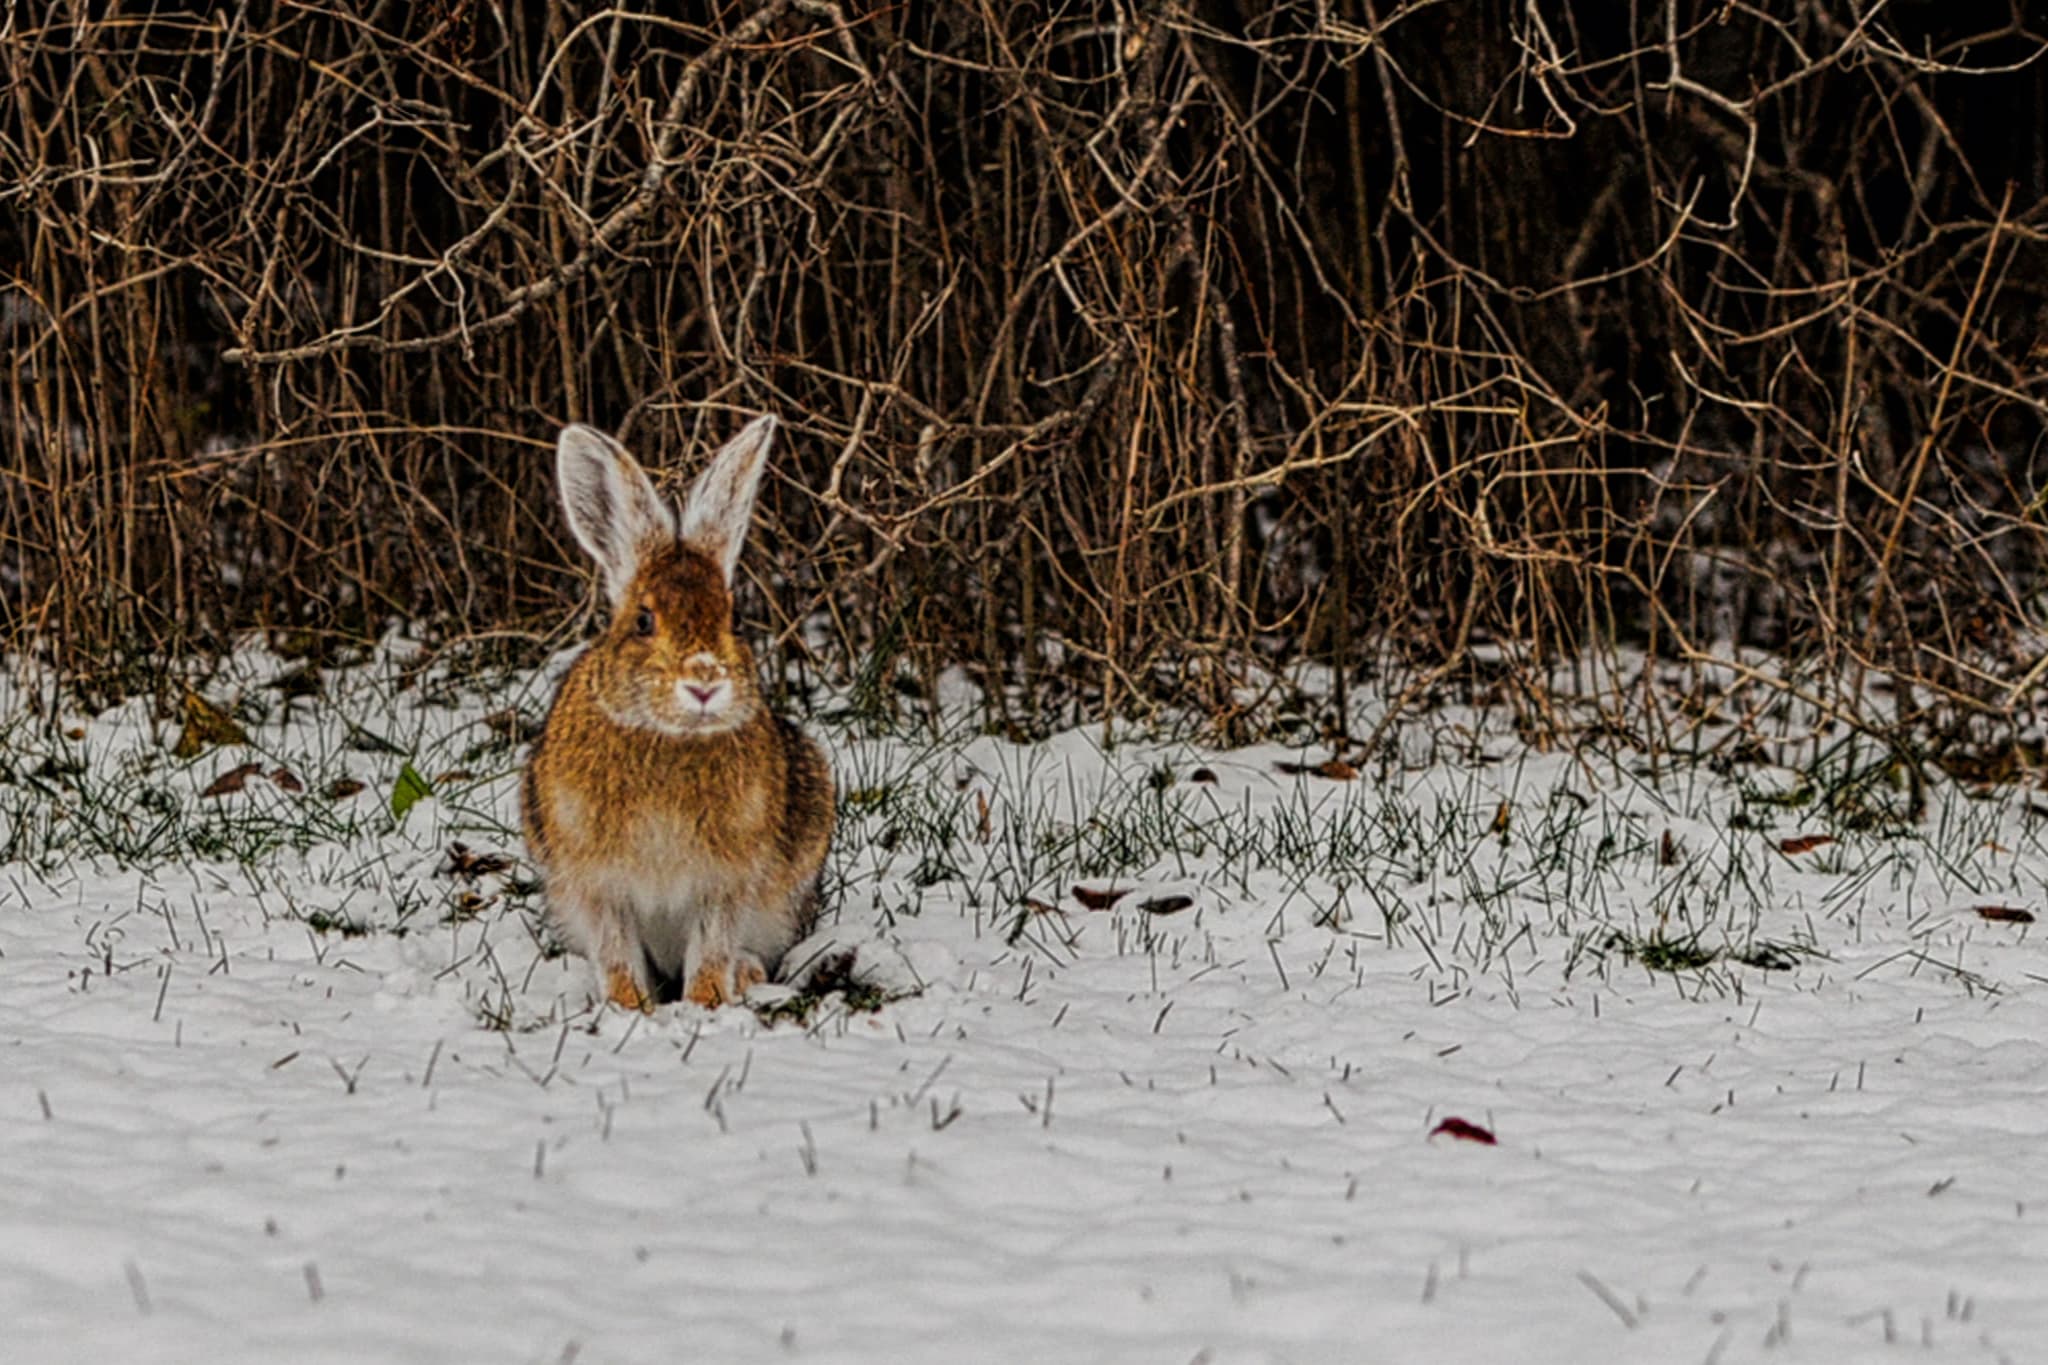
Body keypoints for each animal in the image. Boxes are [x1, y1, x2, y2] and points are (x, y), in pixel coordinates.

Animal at [524, 417, 835, 1015]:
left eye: (735, 620)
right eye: (644, 621)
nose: (704, 682)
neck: (668, 736)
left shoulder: (724, 883)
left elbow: (712, 947)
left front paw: (707, 1003)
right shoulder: (597, 884)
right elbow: (616, 952)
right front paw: (628, 1008)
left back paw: (746, 975)